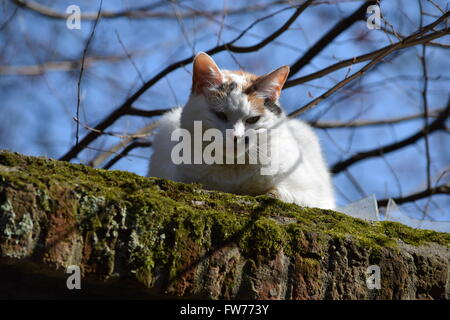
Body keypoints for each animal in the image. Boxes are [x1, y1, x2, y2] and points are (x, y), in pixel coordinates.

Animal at [148, 52, 334, 210]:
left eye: (252, 119)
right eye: (221, 115)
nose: (236, 137)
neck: (233, 171)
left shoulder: (313, 193)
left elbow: (283, 193)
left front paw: (269, 193)